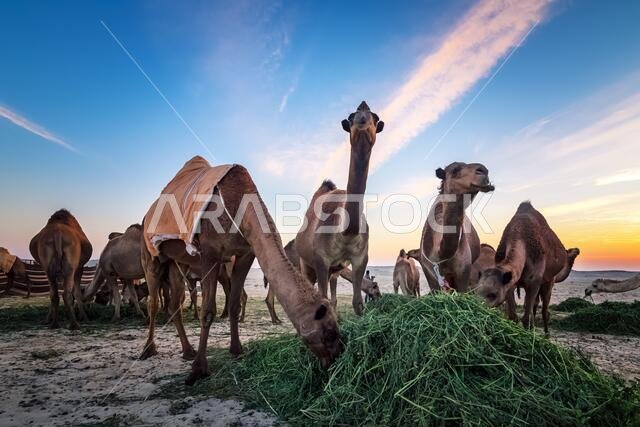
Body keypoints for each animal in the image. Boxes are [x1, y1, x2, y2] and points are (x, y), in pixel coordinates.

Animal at [140, 162, 341, 385]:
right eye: (328, 334)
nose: (336, 357)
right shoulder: (210, 252)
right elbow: (207, 311)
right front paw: (198, 370)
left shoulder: (246, 254)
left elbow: (235, 304)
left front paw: (236, 351)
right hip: (150, 253)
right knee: (153, 301)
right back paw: (148, 349)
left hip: (177, 262)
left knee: (175, 303)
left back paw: (187, 351)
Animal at [296, 101, 384, 315]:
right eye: (351, 117)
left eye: (376, 118)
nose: (362, 117)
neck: (345, 230)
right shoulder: (321, 259)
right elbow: (323, 300)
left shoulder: (360, 257)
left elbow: (357, 303)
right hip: (305, 263)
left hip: (334, 270)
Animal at [476, 202, 573, 334]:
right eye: (475, 291)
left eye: (493, 294)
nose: (478, 309)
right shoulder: (509, 282)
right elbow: (513, 316)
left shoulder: (534, 282)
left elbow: (526, 318)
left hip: (549, 280)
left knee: (543, 309)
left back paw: (546, 334)